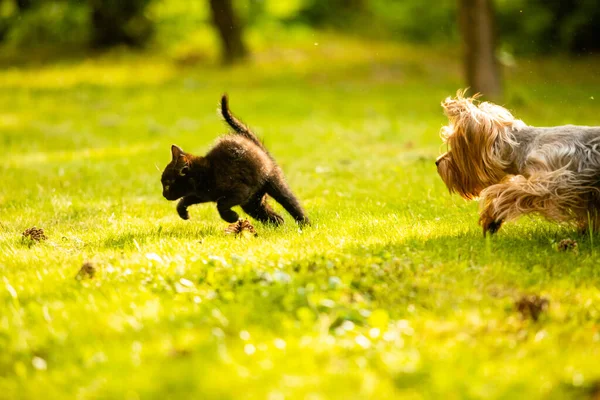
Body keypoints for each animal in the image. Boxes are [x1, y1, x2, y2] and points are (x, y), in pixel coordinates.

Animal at [161, 94, 310, 225]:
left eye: (167, 184)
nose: (163, 194)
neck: (205, 171)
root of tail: (258, 147)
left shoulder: (241, 190)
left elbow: (221, 204)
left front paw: (232, 217)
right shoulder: (202, 195)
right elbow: (185, 199)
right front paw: (183, 212)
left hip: (272, 183)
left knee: (291, 203)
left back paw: (305, 226)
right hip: (253, 203)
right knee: (276, 217)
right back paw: (276, 227)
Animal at [436, 90, 600, 234]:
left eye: (456, 149)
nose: (437, 162)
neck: (522, 147)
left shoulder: (551, 179)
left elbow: (509, 192)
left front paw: (491, 217)